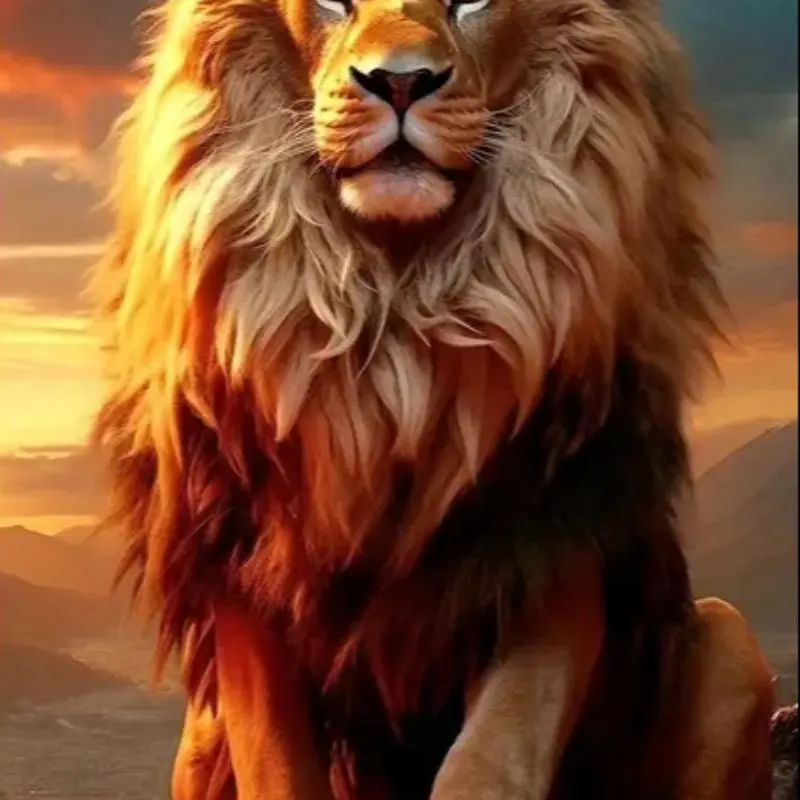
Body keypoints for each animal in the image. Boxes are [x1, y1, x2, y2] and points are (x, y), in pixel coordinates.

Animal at [90, 0, 776, 797]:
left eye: (474, 4)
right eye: (330, 4)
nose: (400, 82)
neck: (396, 313)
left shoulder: (548, 535)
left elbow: (492, 755)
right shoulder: (234, 551)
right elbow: (278, 763)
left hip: (730, 640)